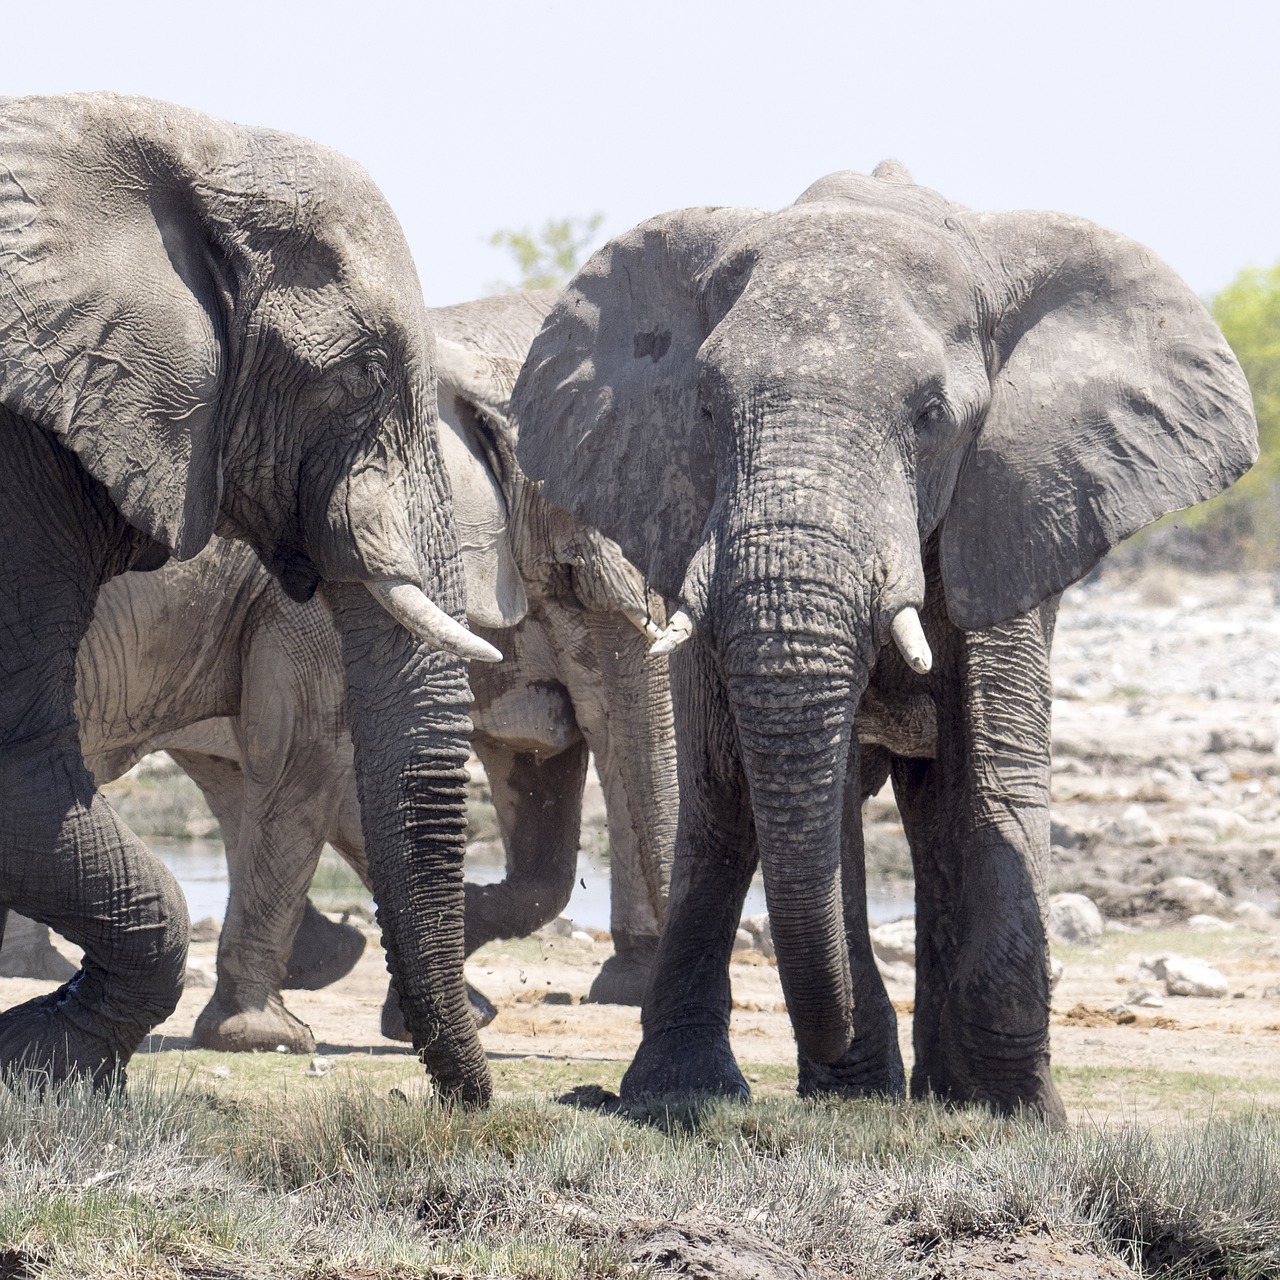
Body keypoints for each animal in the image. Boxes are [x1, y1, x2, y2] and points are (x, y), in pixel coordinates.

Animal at [512, 162, 1259, 1121]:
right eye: (707, 408)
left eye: (933, 414)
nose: (835, 1058)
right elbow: (815, 798)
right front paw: (858, 1101)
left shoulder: (1016, 498)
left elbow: (992, 769)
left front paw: (1018, 1116)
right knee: (721, 805)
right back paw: (684, 1097)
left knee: (933, 806)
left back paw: (948, 1094)